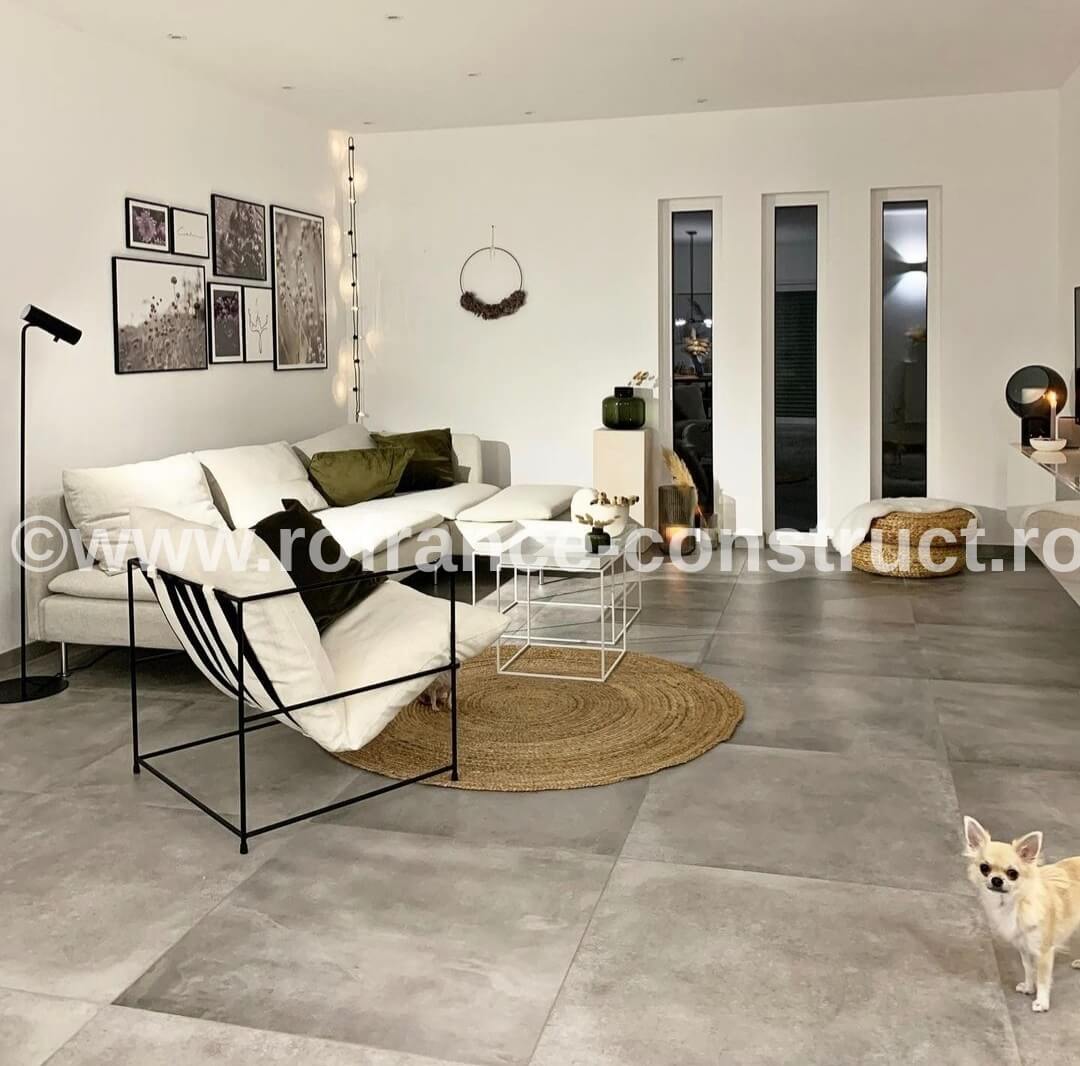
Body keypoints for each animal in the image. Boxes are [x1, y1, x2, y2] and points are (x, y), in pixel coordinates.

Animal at [963, 816, 1080, 1012]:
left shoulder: (1044, 951)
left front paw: (1042, 1002)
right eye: (984, 868)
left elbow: (1042, 979)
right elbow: (1028, 968)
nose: (996, 879)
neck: (1015, 903)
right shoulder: (1023, 946)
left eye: (1012, 873)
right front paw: (1028, 987)